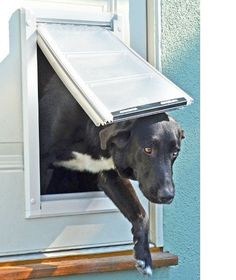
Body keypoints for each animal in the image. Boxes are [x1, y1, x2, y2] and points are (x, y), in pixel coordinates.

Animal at [38, 47, 184, 274]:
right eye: (148, 150)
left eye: (175, 153)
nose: (167, 195)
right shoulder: (43, 163)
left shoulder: (110, 176)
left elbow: (141, 214)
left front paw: (144, 256)